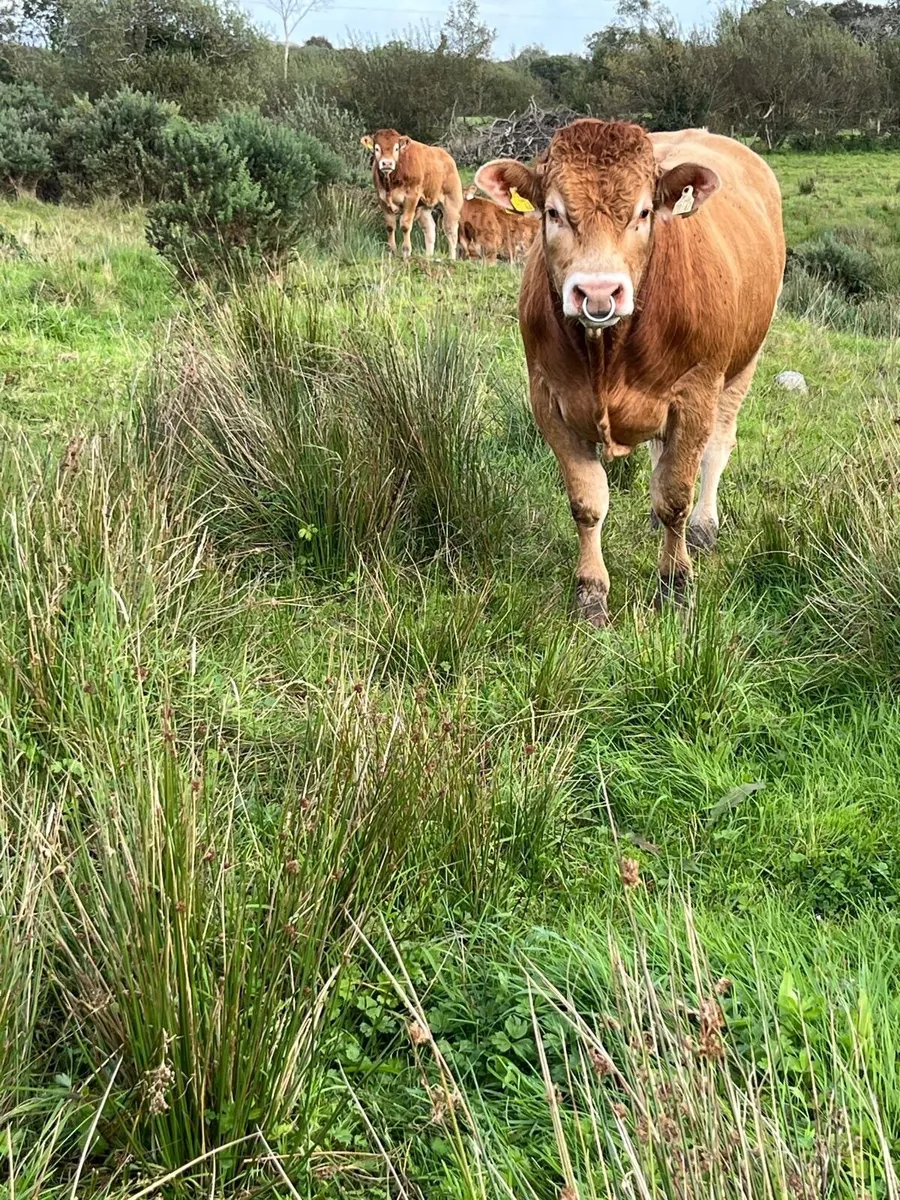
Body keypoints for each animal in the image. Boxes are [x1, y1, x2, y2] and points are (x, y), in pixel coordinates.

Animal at [361, 129, 464, 260]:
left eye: (396, 148)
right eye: (377, 148)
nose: (387, 163)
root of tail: (445, 154)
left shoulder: (411, 198)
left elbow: (405, 225)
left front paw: (406, 252)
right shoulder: (382, 199)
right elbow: (390, 226)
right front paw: (392, 251)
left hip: (451, 201)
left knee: (451, 231)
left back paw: (452, 258)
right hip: (424, 207)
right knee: (430, 229)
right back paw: (428, 256)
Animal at [474, 120, 785, 625]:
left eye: (643, 212)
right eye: (553, 212)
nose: (598, 291)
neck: (607, 353)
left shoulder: (695, 394)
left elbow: (676, 495)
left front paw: (676, 586)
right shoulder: (548, 399)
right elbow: (588, 502)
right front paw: (591, 591)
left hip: (743, 364)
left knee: (716, 449)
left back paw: (704, 525)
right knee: (661, 456)